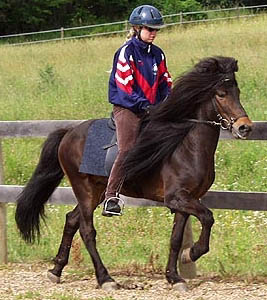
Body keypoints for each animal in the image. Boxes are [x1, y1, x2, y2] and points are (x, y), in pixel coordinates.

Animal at [14, 55, 253, 290]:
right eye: (221, 94)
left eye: (238, 92)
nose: (245, 128)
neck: (186, 146)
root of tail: (68, 133)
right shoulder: (177, 198)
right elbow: (208, 217)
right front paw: (190, 254)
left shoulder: (186, 200)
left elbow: (176, 239)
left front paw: (174, 277)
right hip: (83, 188)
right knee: (86, 230)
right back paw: (105, 279)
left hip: (98, 190)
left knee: (72, 220)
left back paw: (56, 270)